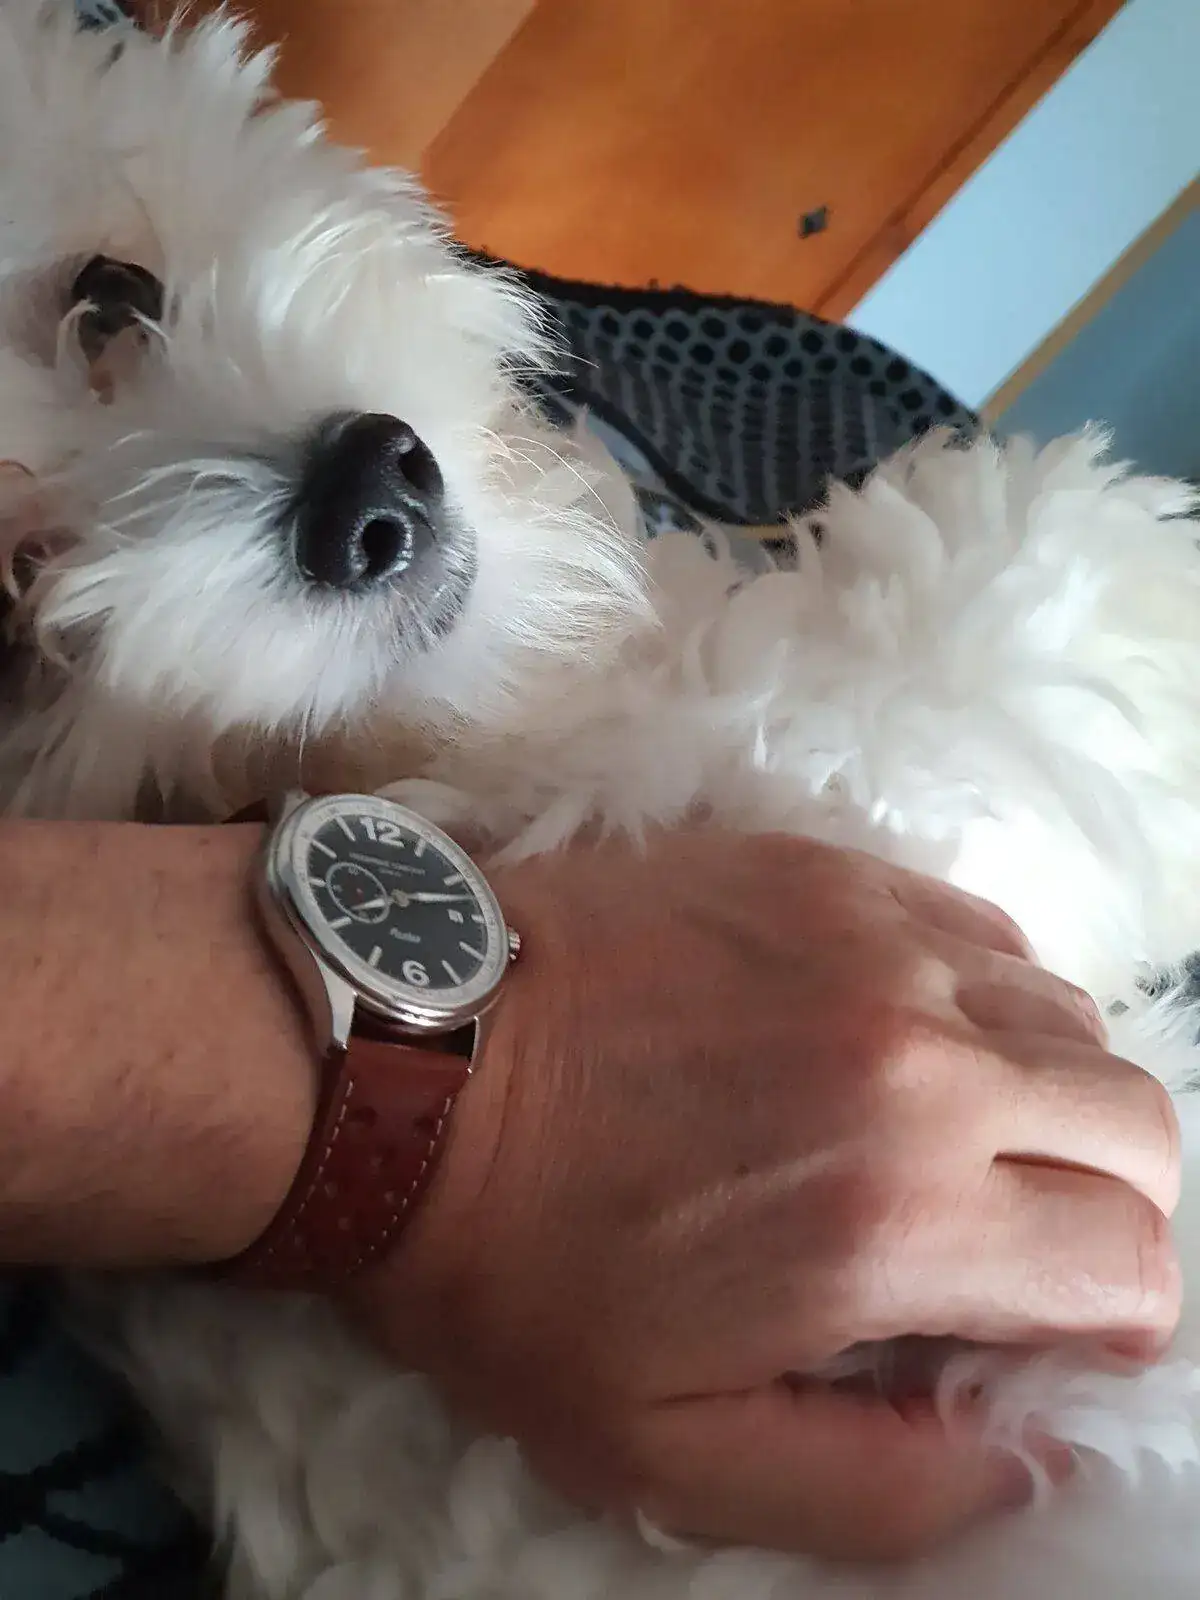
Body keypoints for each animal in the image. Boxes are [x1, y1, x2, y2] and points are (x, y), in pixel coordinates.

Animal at [4, 5, 1200, 1597]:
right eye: (6, 611)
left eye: (114, 297)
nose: (367, 495)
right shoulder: (841, 808)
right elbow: (982, 635)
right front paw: (1120, 563)